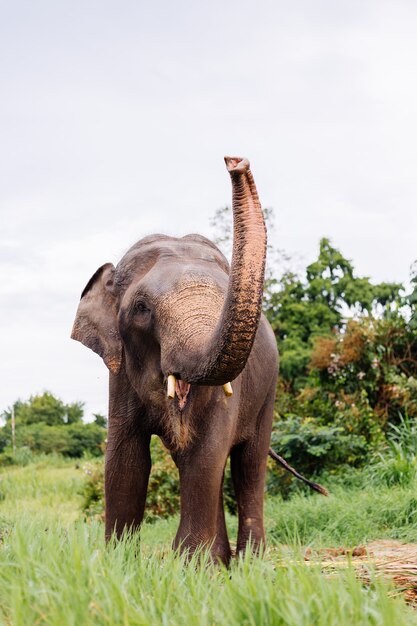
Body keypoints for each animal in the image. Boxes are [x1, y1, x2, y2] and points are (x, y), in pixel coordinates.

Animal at [71, 155, 324, 560]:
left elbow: (206, 451)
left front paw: (190, 565)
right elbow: (126, 458)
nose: (235, 162)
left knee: (248, 463)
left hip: (269, 391)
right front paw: (118, 563)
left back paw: (250, 562)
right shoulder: (119, 375)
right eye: (141, 309)